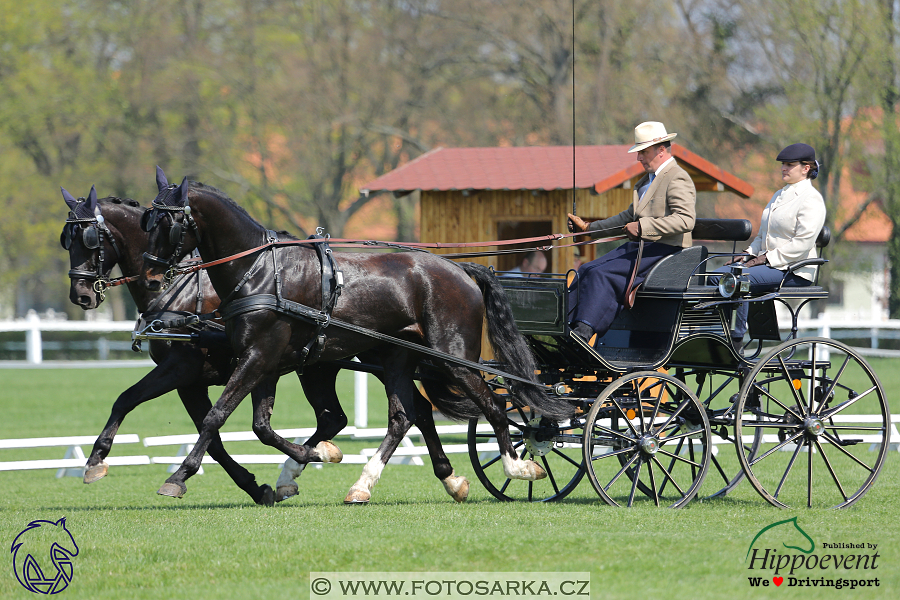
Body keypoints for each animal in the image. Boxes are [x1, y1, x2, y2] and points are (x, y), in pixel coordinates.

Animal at [142, 171, 576, 500]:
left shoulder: (258, 357)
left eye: (168, 223)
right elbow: (260, 426)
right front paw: (311, 457)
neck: (261, 271)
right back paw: (379, 484)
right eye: (147, 220)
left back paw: (518, 467)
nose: (150, 276)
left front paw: (178, 477)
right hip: (396, 358)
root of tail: (461, 270)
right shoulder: (264, 361)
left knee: (495, 406)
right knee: (406, 416)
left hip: (454, 360)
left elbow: (216, 416)